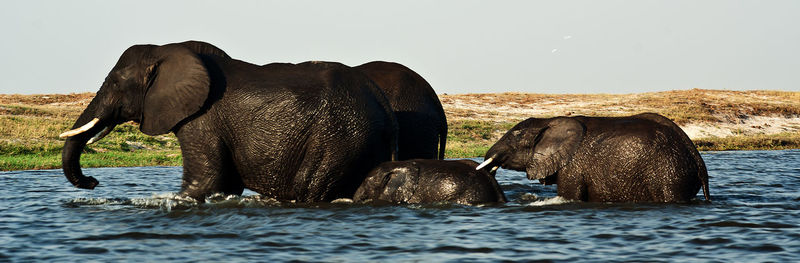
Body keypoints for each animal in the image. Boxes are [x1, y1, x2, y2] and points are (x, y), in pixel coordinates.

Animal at [61, 40, 398, 202]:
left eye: (116, 83)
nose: (92, 182)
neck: (168, 51)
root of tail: (381, 101)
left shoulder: (202, 120)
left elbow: (207, 181)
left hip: (339, 137)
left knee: (310, 187)